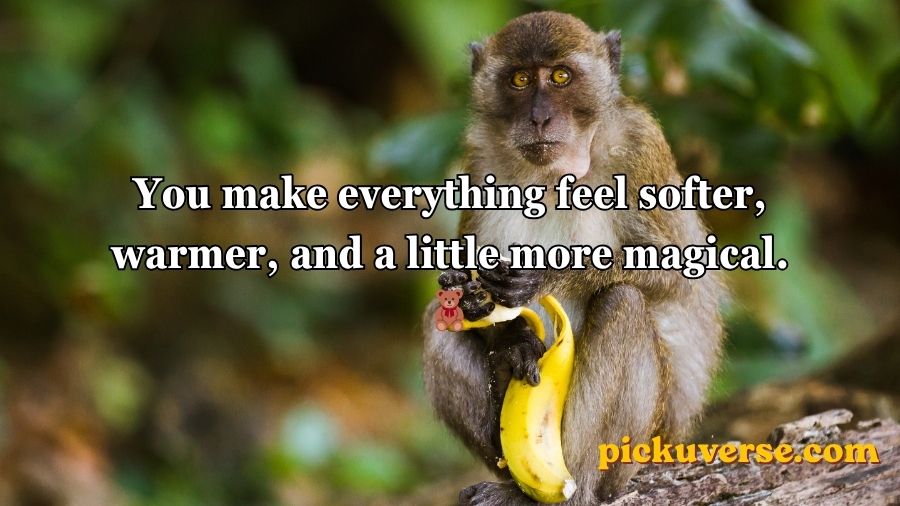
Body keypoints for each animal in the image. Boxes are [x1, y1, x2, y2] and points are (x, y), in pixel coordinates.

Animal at [422, 11, 726, 505]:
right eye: (521, 79)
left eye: (561, 77)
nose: (540, 117)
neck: (551, 175)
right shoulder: (479, 162)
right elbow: (467, 295)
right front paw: (513, 339)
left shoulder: (640, 146)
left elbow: (677, 271)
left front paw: (544, 276)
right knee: (439, 322)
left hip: (641, 449)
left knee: (624, 304)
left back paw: (573, 489)